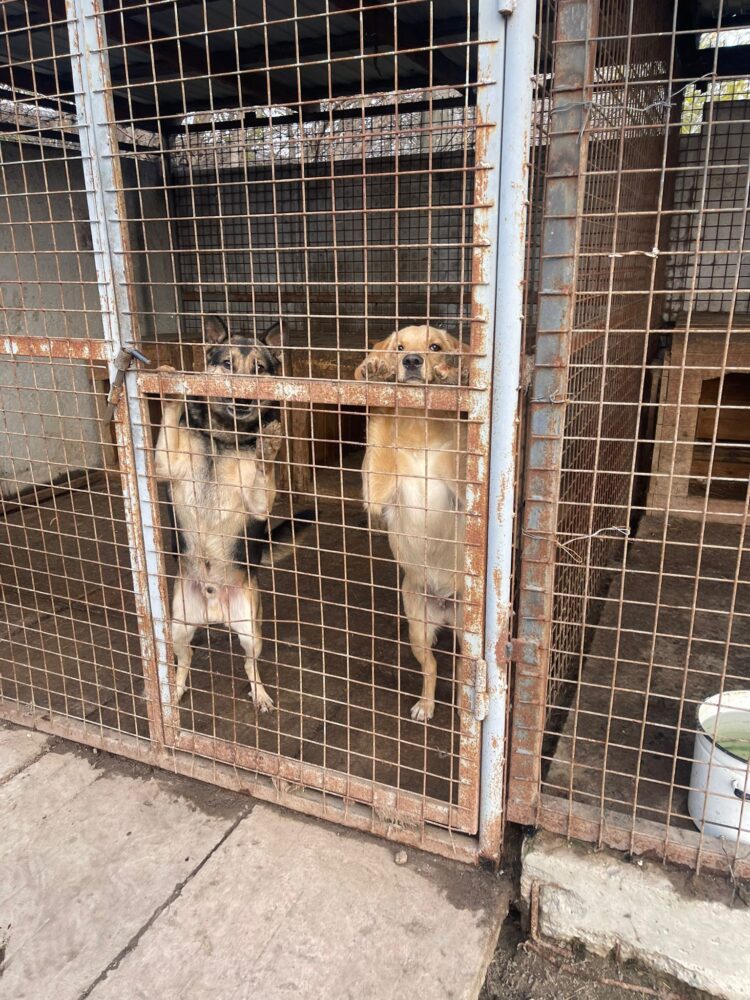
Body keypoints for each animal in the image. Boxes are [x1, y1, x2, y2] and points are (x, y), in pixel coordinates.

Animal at [155, 315, 307, 712]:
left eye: (259, 369)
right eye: (226, 364)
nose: (242, 398)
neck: (225, 437)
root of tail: (213, 611)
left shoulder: (259, 502)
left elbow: (264, 470)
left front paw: (269, 444)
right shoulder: (166, 466)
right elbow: (171, 416)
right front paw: (170, 387)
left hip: (251, 629)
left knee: (250, 663)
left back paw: (261, 694)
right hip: (179, 626)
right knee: (185, 659)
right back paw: (174, 691)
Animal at [355, 325, 467, 721]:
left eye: (434, 347)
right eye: (399, 347)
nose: (412, 361)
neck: (421, 428)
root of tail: (446, 606)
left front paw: (454, 375)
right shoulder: (376, 494)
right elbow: (380, 419)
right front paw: (376, 379)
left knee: (465, 665)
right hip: (417, 627)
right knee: (431, 666)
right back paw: (425, 705)